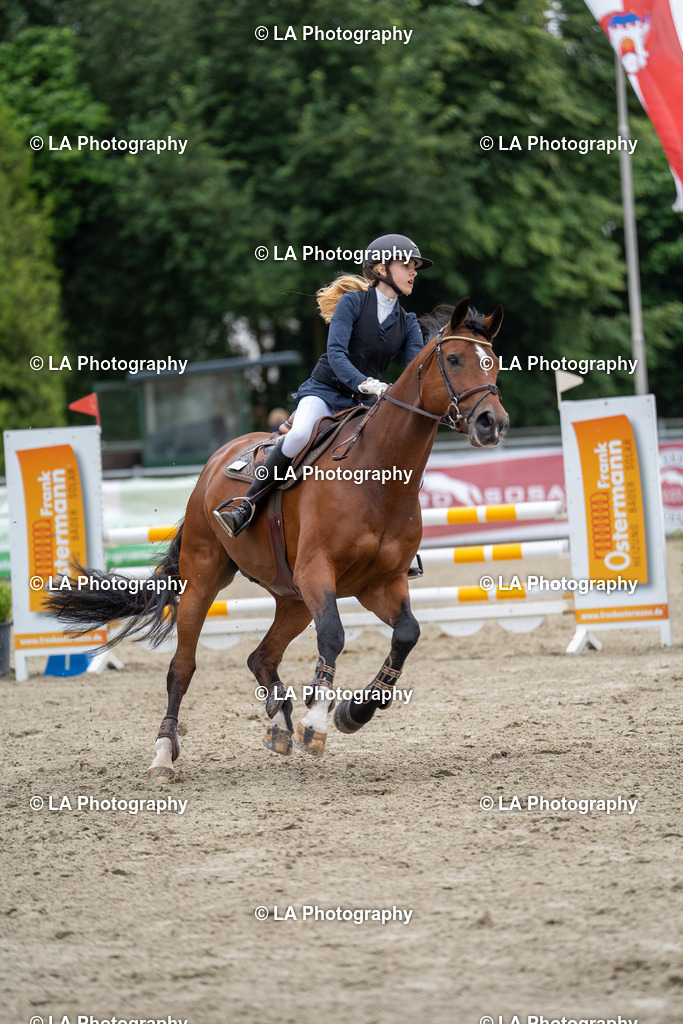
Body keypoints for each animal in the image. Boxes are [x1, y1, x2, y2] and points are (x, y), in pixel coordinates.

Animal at [45, 297, 509, 784]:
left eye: (493, 361)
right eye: (454, 359)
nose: (492, 423)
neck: (380, 474)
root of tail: (215, 461)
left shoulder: (381, 583)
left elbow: (407, 634)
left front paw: (353, 713)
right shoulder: (318, 571)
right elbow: (333, 637)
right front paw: (317, 723)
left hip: (293, 598)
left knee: (261, 657)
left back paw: (279, 722)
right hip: (206, 579)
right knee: (181, 668)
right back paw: (163, 755)